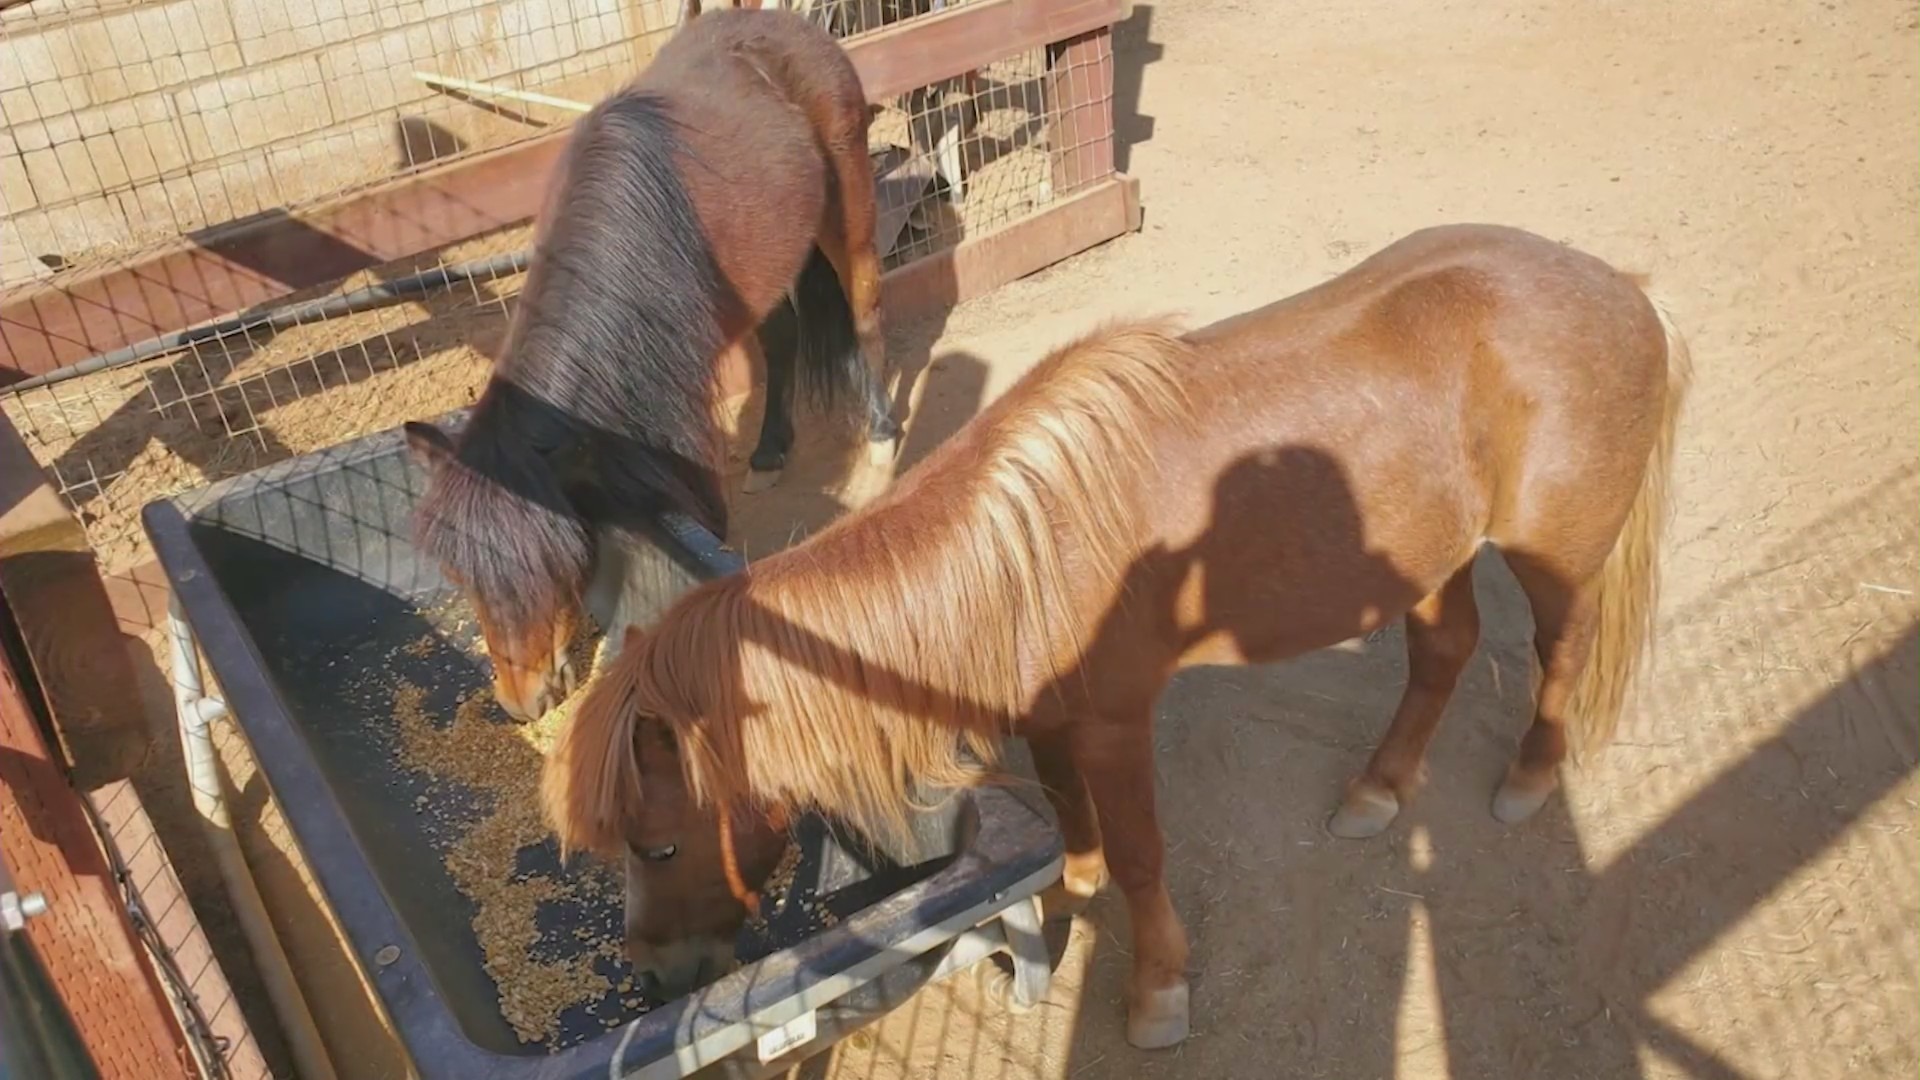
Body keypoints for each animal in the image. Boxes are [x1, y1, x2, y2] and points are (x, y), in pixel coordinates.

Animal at [399, 8, 906, 722]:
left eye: (551, 565)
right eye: (460, 577)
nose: (522, 702)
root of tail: (792, 24)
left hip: (848, 207)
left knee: (865, 311)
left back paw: (881, 450)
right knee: (783, 340)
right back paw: (769, 454)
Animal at [545, 224, 1697, 1045]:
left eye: (656, 841)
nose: (655, 974)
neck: (1021, 550)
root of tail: (1629, 291)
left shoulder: (1114, 724)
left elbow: (1145, 858)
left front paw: (1155, 994)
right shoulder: (1051, 719)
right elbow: (1066, 810)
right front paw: (1077, 881)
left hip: (1552, 561)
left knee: (1557, 657)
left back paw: (1528, 781)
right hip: (1430, 558)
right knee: (1445, 652)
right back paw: (1377, 791)